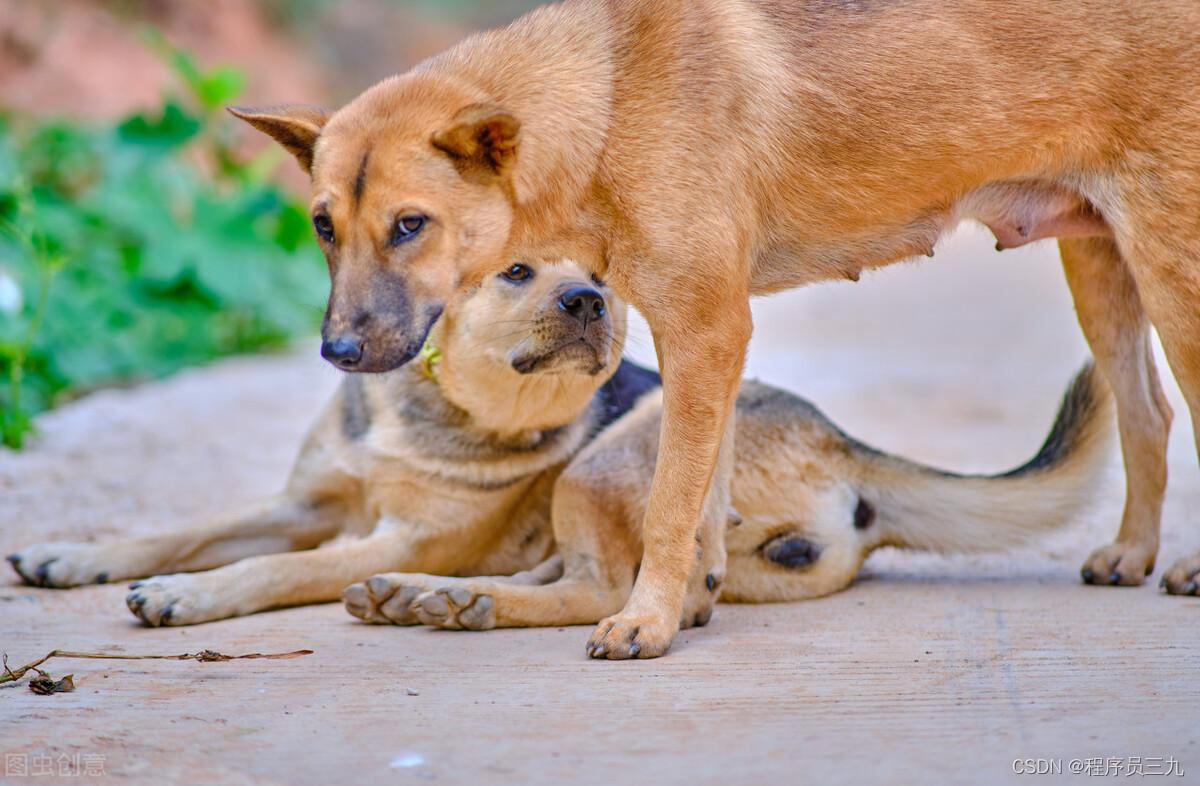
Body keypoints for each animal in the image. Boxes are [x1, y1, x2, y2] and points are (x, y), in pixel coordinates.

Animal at [225, 0, 1200, 657]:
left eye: (410, 225)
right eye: (322, 225)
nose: (339, 354)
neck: (607, 103)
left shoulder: (706, 330)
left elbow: (669, 505)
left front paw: (648, 620)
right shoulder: (705, 342)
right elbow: (702, 502)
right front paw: (686, 603)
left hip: (1170, 271)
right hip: (1099, 266)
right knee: (1147, 411)